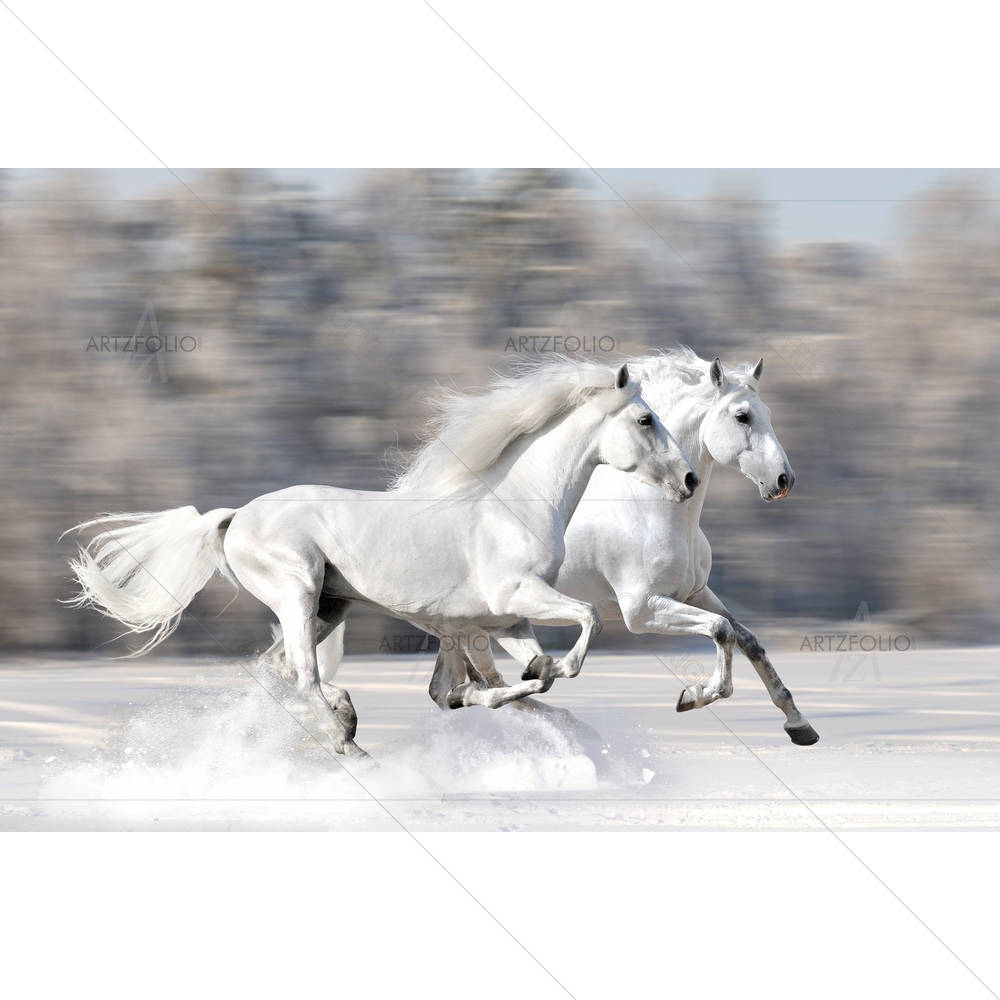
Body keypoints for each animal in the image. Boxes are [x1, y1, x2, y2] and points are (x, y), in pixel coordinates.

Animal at [64, 359, 699, 758]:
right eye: (645, 419)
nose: (690, 479)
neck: (513, 505)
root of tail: (235, 517)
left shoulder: (505, 620)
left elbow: (501, 681)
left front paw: (525, 680)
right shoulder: (517, 598)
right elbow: (584, 625)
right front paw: (552, 671)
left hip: (330, 606)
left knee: (278, 669)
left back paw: (345, 720)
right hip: (297, 592)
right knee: (300, 674)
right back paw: (345, 736)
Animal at [320, 348, 818, 745]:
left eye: (766, 413)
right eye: (742, 416)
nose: (783, 480)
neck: (650, 507)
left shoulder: (694, 592)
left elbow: (745, 638)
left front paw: (799, 725)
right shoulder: (642, 610)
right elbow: (720, 631)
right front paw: (694, 696)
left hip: (459, 626)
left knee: (451, 690)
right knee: (476, 684)